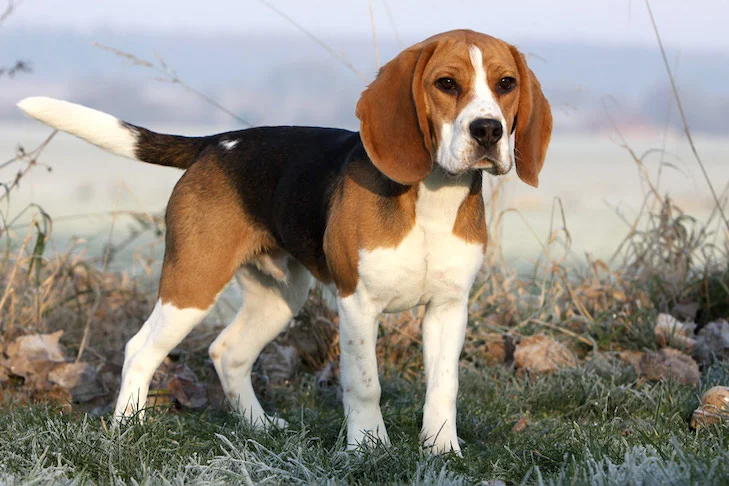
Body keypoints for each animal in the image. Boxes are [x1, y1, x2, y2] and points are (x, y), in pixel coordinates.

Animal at [15, 29, 552, 456]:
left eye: (506, 84)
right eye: (446, 84)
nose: (488, 130)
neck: (432, 196)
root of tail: (213, 143)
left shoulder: (448, 307)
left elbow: (444, 387)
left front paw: (443, 450)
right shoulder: (357, 303)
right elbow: (364, 384)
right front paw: (367, 447)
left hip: (281, 297)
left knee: (227, 352)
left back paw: (258, 427)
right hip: (193, 282)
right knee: (139, 349)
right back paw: (128, 427)